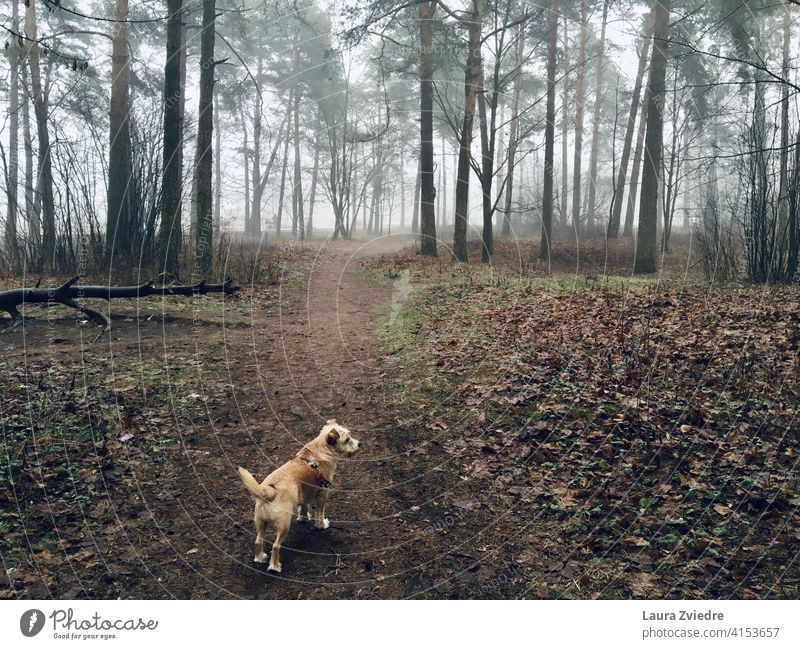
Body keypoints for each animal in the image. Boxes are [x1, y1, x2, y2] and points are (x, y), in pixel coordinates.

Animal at [238, 418, 362, 568]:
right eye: (347, 439)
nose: (360, 444)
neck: (321, 449)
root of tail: (269, 491)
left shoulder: (305, 493)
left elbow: (304, 507)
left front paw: (303, 518)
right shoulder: (323, 494)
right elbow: (320, 513)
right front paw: (321, 525)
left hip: (261, 523)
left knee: (258, 541)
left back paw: (260, 558)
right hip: (284, 525)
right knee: (276, 546)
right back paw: (275, 566)